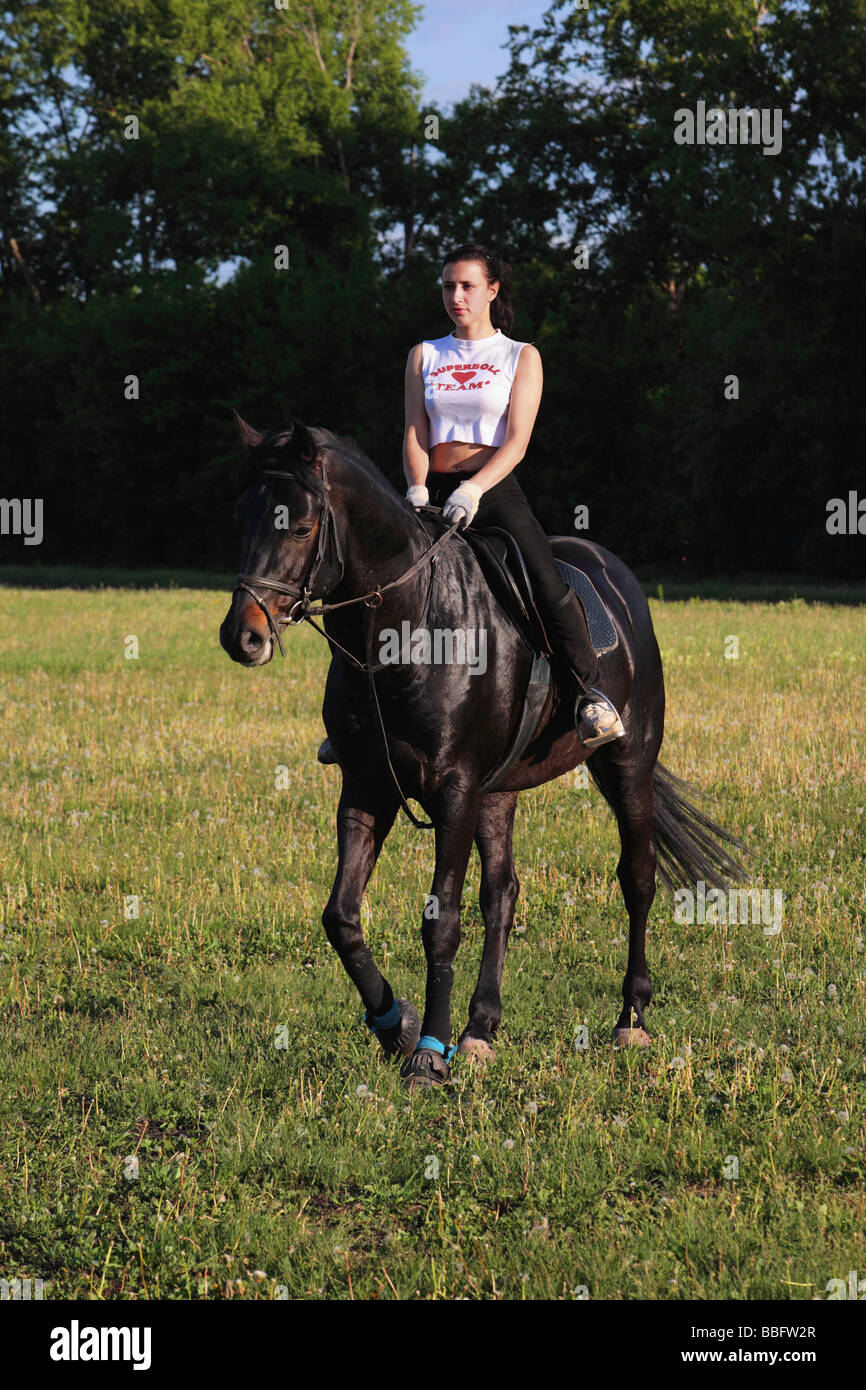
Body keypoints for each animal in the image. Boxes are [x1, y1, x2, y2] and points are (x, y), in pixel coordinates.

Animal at [218, 411, 745, 1084]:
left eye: (303, 526)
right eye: (240, 519)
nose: (243, 637)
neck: (408, 627)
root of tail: (612, 571)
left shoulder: (455, 791)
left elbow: (442, 921)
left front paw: (427, 1053)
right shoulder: (368, 786)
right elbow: (341, 916)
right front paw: (395, 1026)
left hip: (627, 763)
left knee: (638, 877)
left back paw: (630, 1019)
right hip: (500, 792)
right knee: (503, 894)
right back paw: (480, 1028)